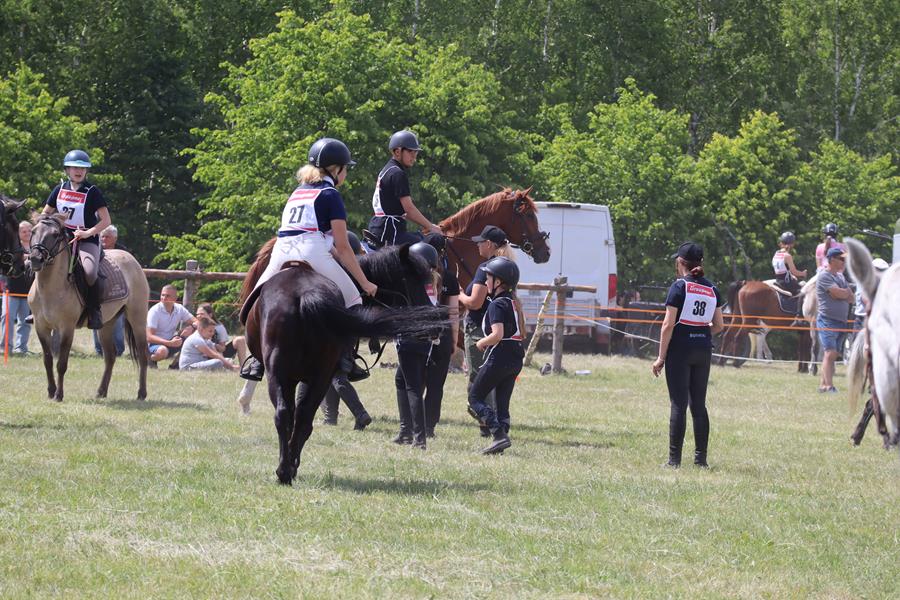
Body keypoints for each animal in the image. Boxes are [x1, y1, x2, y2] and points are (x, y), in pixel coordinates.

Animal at [27, 214, 150, 402]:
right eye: (33, 231)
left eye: (55, 234)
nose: (35, 259)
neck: (50, 288)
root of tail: (131, 259)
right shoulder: (41, 327)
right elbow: (47, 360)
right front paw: (50, 391)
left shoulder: (67, 328)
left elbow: (61, 364)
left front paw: (58, 395)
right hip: (106, 324)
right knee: (110, 356)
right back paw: (101, 392)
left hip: (138, 319)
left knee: (143, 355)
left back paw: (141, 394)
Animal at [237, 241, 447, 484]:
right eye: (412, 281)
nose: (436, 327)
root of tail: (304, 294)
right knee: (294, 416)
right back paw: (286, 469)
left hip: (296, 374)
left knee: (292, 416)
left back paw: (285, 470)